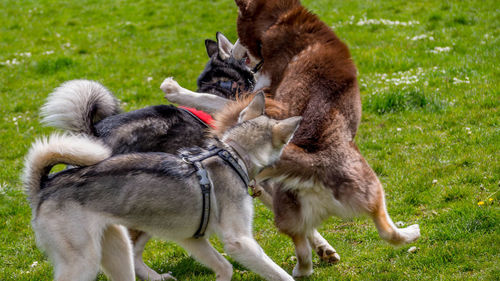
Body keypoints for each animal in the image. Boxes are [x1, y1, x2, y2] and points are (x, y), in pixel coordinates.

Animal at [163, 0, 418, 276]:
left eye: (238, 32)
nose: (234, 52)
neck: (283, 21)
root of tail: (315, 165)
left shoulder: (265, 98)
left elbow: (213, 101)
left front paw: (176, 91)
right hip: (361, 196)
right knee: (380, 233)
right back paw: (409, 233)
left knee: (311, 246)